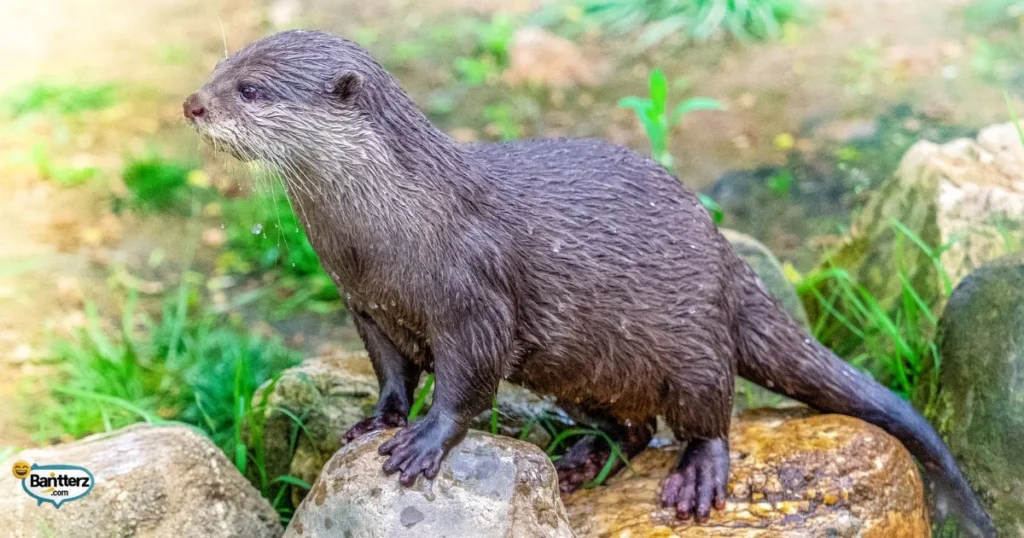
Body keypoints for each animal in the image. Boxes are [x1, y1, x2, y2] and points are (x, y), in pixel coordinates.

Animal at [184, 30, 994, 535]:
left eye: (251, 89)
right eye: (218, 70)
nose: (192, 103)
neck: (385, 230)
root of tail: (725, 260)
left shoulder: (473, 296)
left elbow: (466, 381)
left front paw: (424, 443)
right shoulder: (366, 303)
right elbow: (391, 371)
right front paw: (376, 420)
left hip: (693, 341)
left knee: (710, 414)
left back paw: (695, 476)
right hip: (585, 367)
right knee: (631, 425)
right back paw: (577, 463)